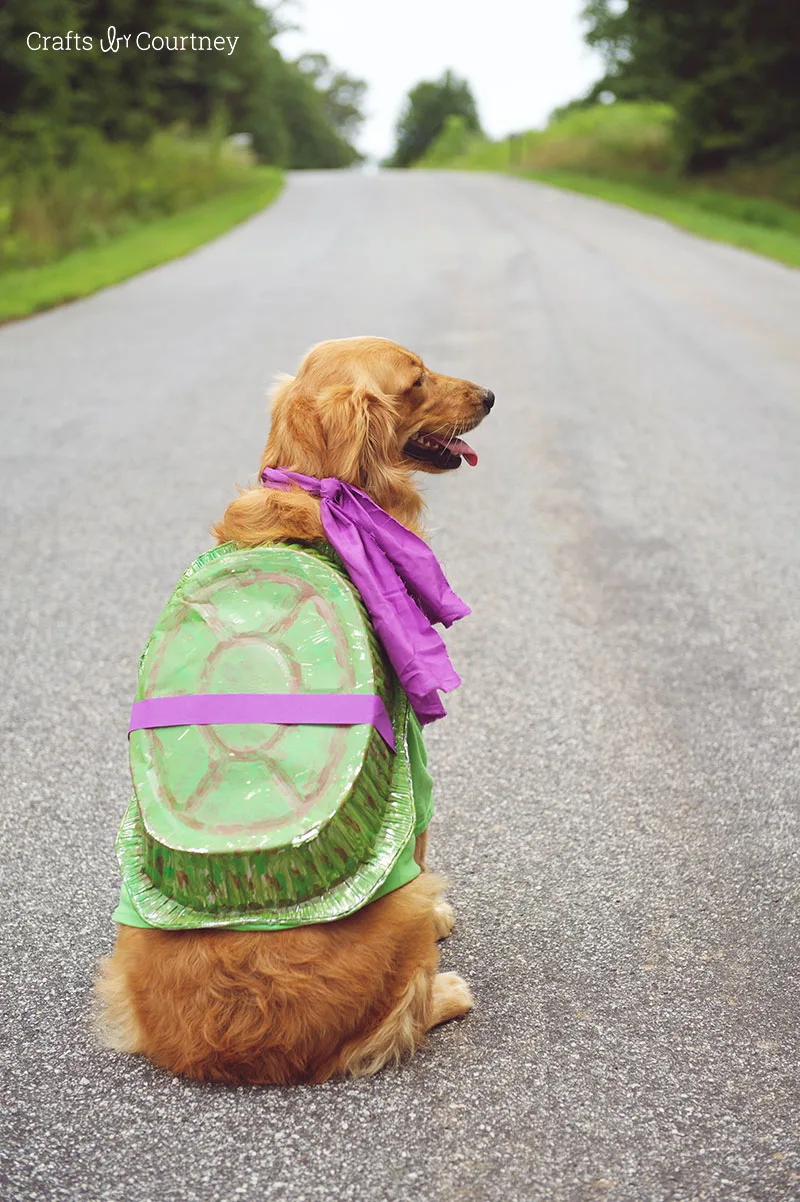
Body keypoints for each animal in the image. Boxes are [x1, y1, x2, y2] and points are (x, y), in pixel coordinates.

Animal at [94, 334, 492, 1086]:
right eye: (416, 380)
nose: (490, 395)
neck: (314, 491)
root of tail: (230, 1051)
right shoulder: (415, 765)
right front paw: (448, 922)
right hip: (400, 904)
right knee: (400, 1007)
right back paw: (448, 991)